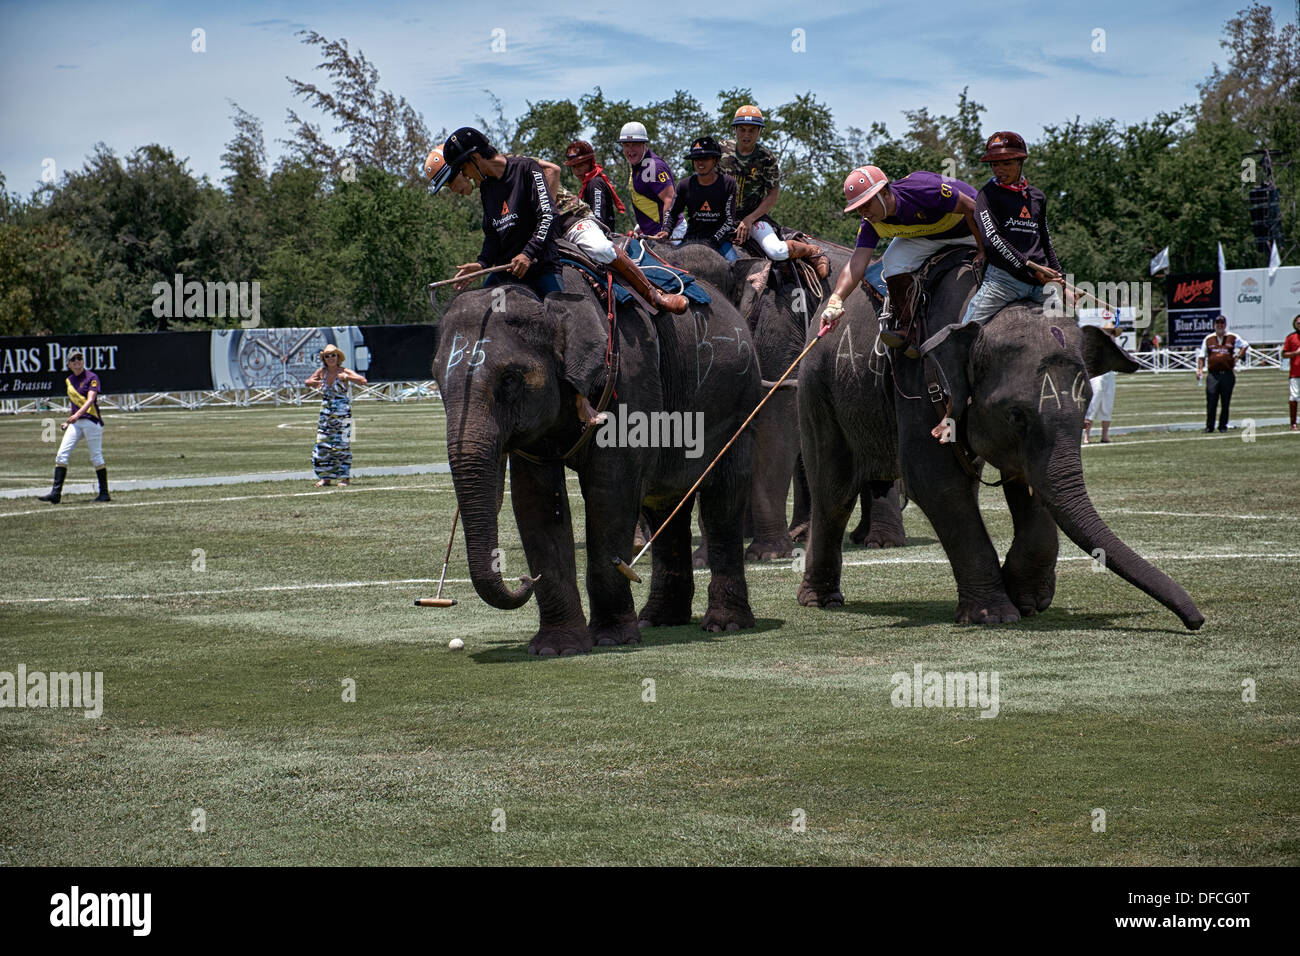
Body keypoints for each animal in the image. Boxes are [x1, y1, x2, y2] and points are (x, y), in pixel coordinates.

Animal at [431, 269, 764, 658]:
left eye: (510, 379)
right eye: (436, 381)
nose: (525, 579)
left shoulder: (629, 380)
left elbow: (610, 493)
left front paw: (610, 640)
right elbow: (535, 501)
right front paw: (556, 649)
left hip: (739, 402)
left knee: (723, 501)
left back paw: (725, 625)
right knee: (664, 507)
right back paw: (660, 620)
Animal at [795, 251, 1201, 632]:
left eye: (1086, 401)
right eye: (1015, 414)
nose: (1196, 621)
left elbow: (1027, 484)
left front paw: (1029, 600)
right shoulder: (921, 381)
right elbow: (933, 479)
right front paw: (994, 616)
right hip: (818, 391)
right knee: (833, 491)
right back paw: (821, 601)